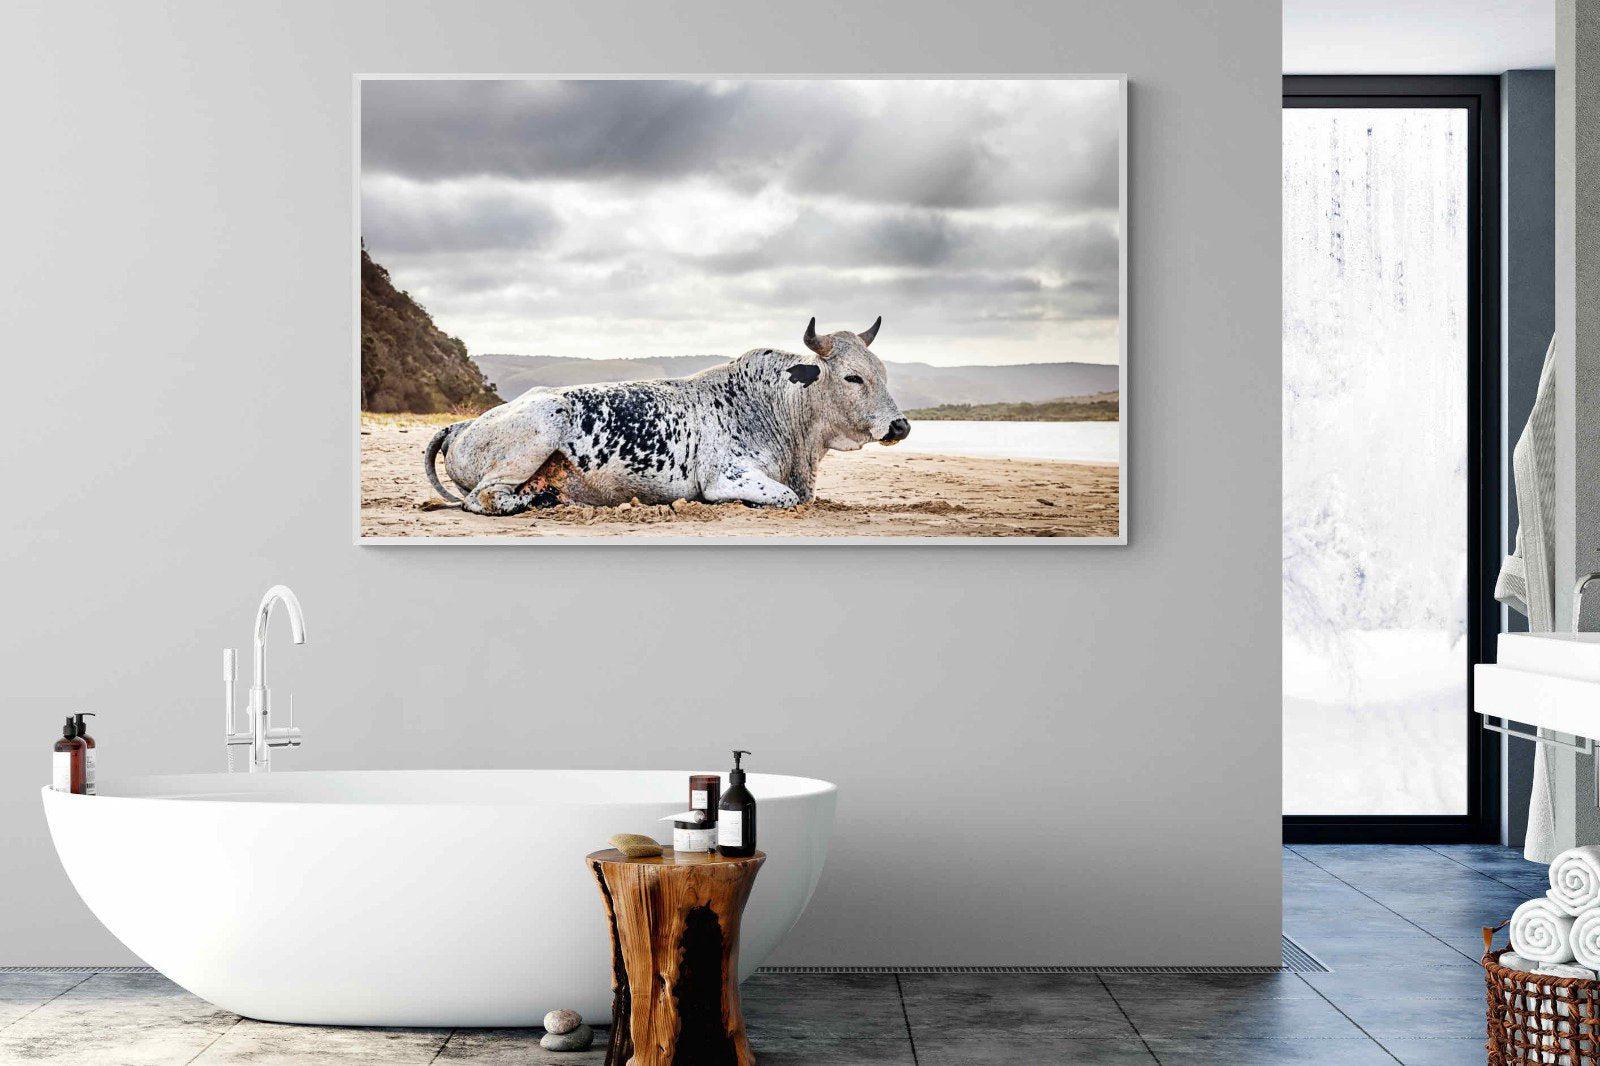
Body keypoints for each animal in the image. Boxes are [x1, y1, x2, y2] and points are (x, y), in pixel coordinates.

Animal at [424, 317, 910, 516]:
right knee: (482, 498)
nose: (901, 425)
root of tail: (463, 424)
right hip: (538, 433)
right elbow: (786, 498)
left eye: (883, 373)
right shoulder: (726, 475)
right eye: (852, 377)